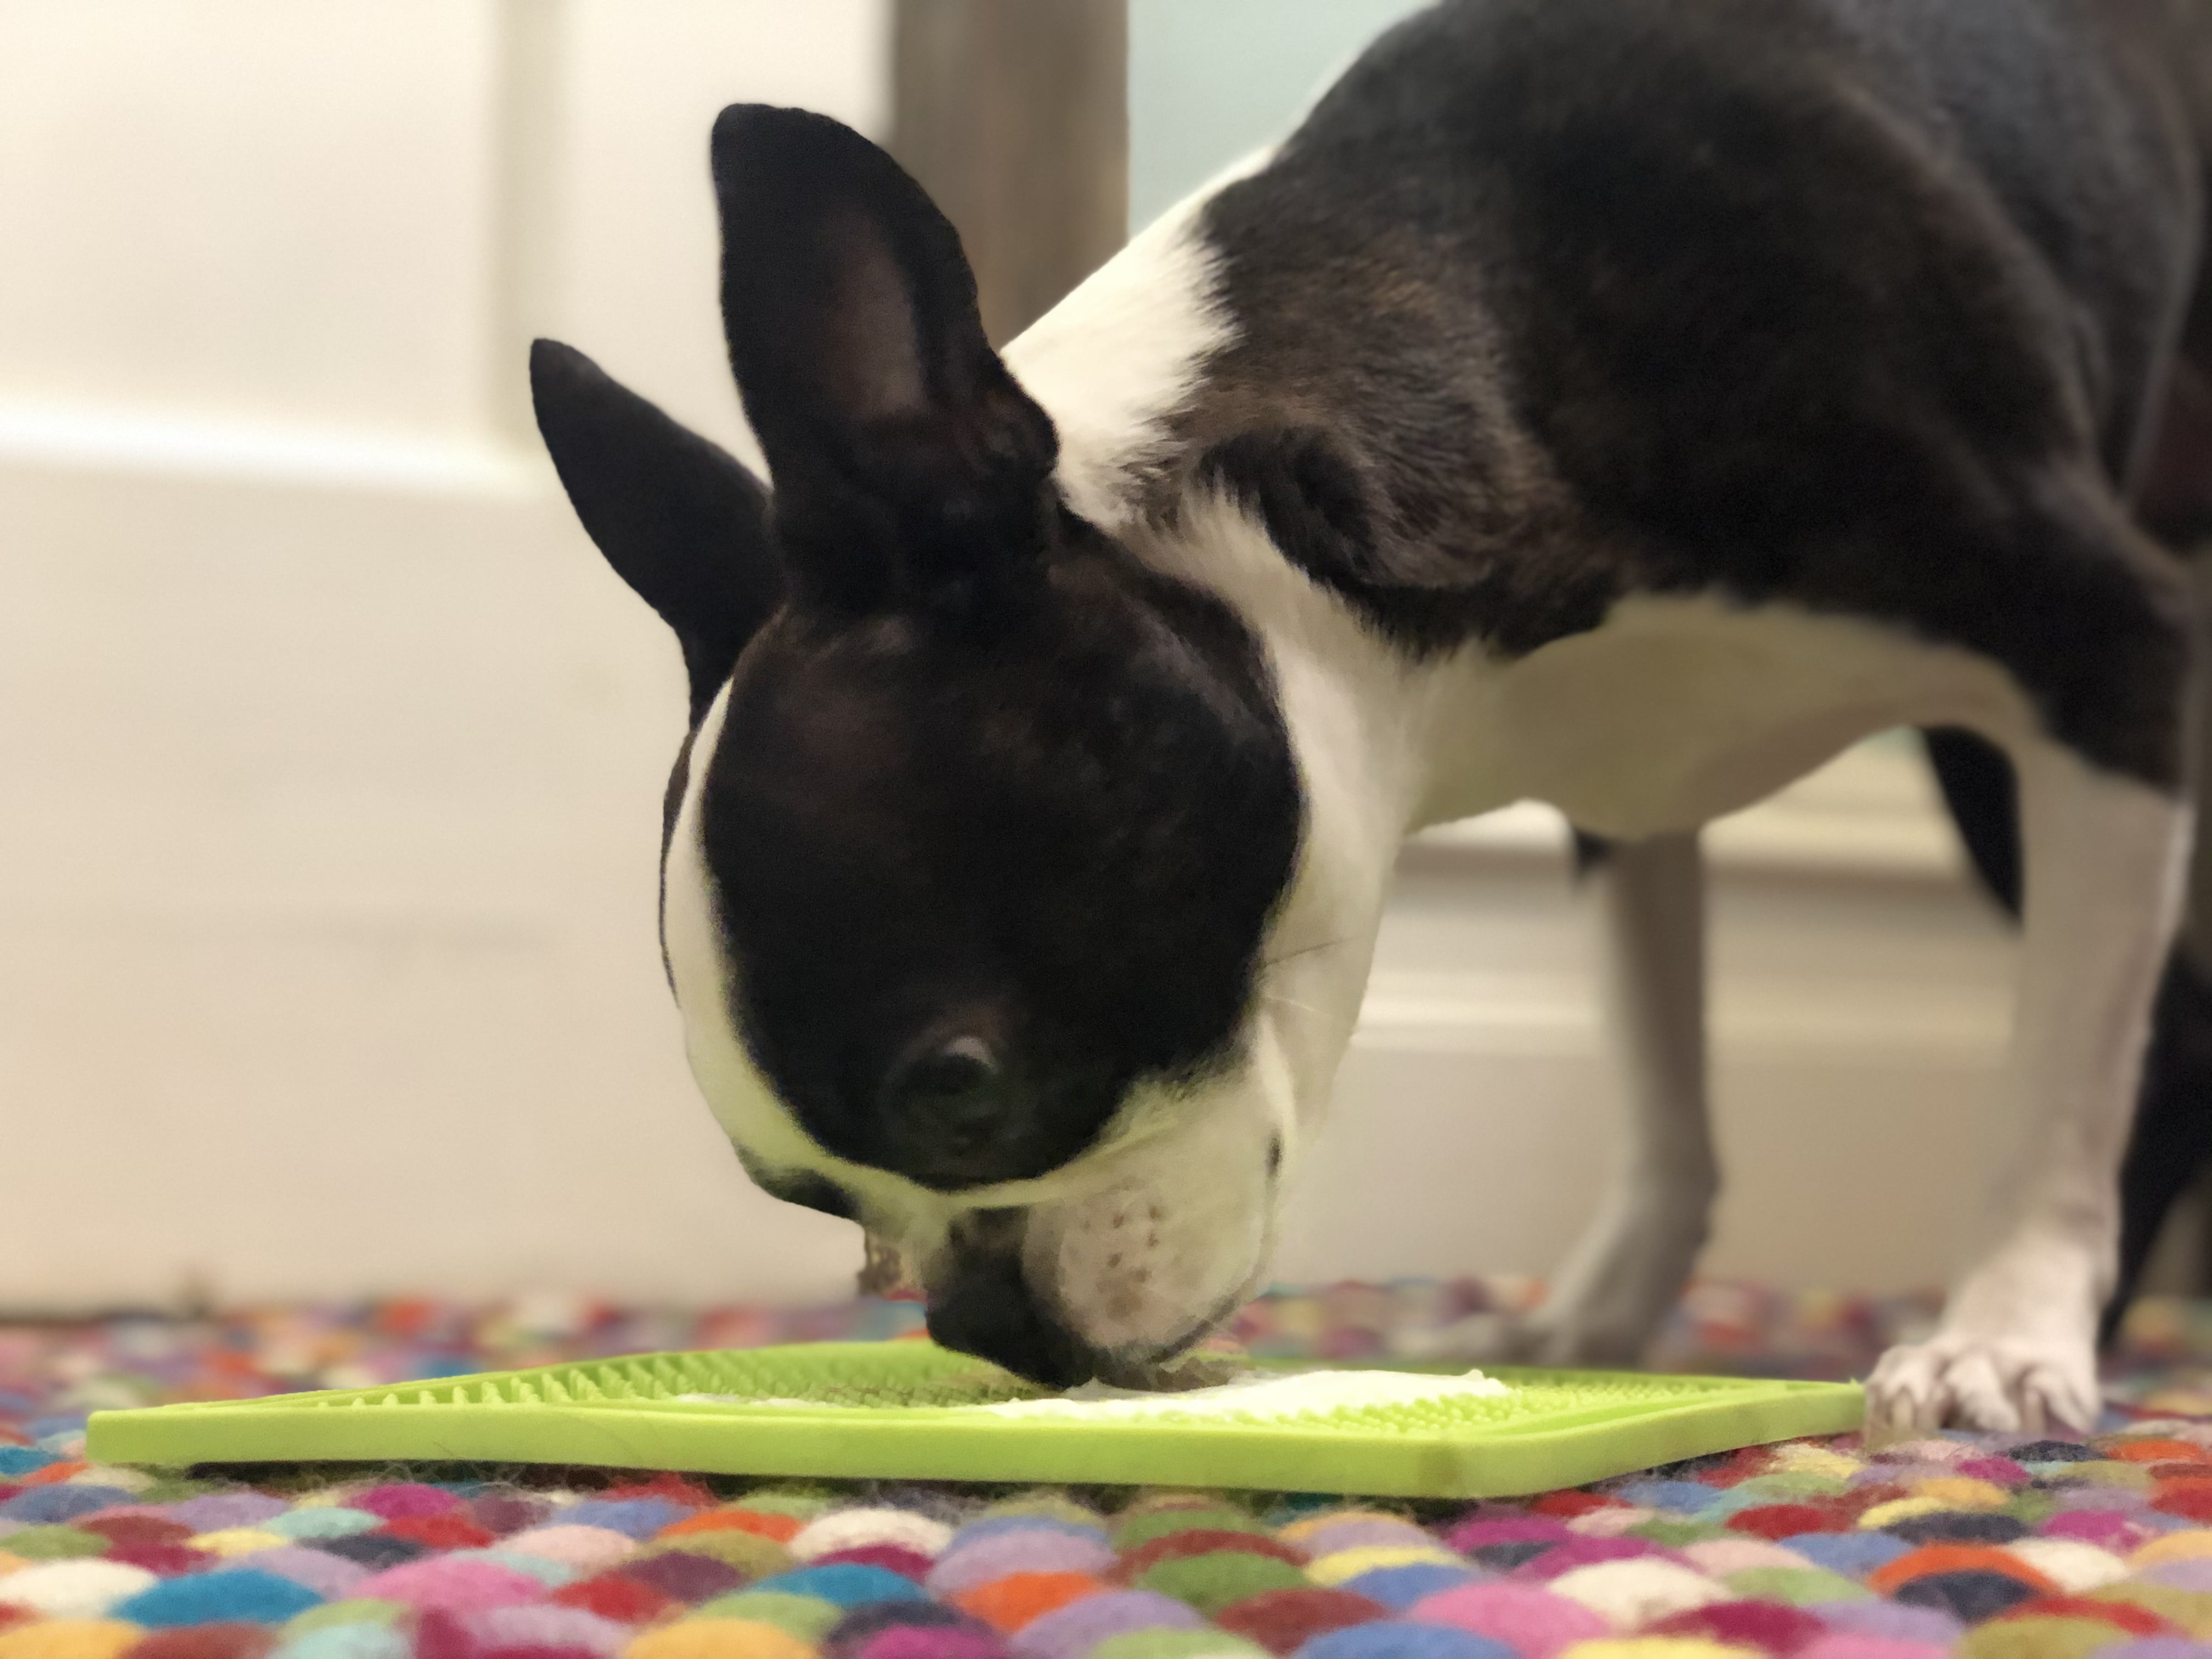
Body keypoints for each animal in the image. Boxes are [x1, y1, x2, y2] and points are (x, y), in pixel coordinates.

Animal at [522, 0, 2212, 1433]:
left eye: (962, 1095)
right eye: (804, 1199)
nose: (985, 1328)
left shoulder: (2113, 656)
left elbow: (2055, 1082)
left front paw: (2004, 1329)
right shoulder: (1626, 800)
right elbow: (1663, 1090)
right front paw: (1596, 1321)